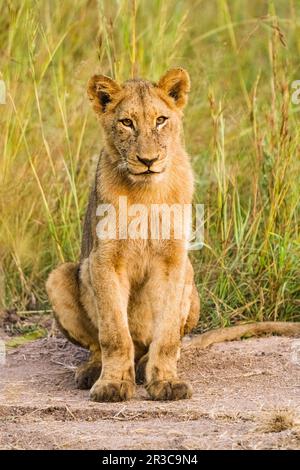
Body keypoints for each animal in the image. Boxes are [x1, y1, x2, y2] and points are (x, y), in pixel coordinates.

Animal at [47, 68, 200, 402]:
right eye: (127, 122)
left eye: (160, 120)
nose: (148, 160)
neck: (146, 193)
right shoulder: (105, 260)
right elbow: (114, 333)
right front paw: (113, 384)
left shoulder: (174, 260)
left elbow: (168, 335)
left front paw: (166, 382)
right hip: (60, 275)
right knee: (97, 344)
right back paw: (92, 371)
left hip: (192, 283)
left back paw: (143, 366)